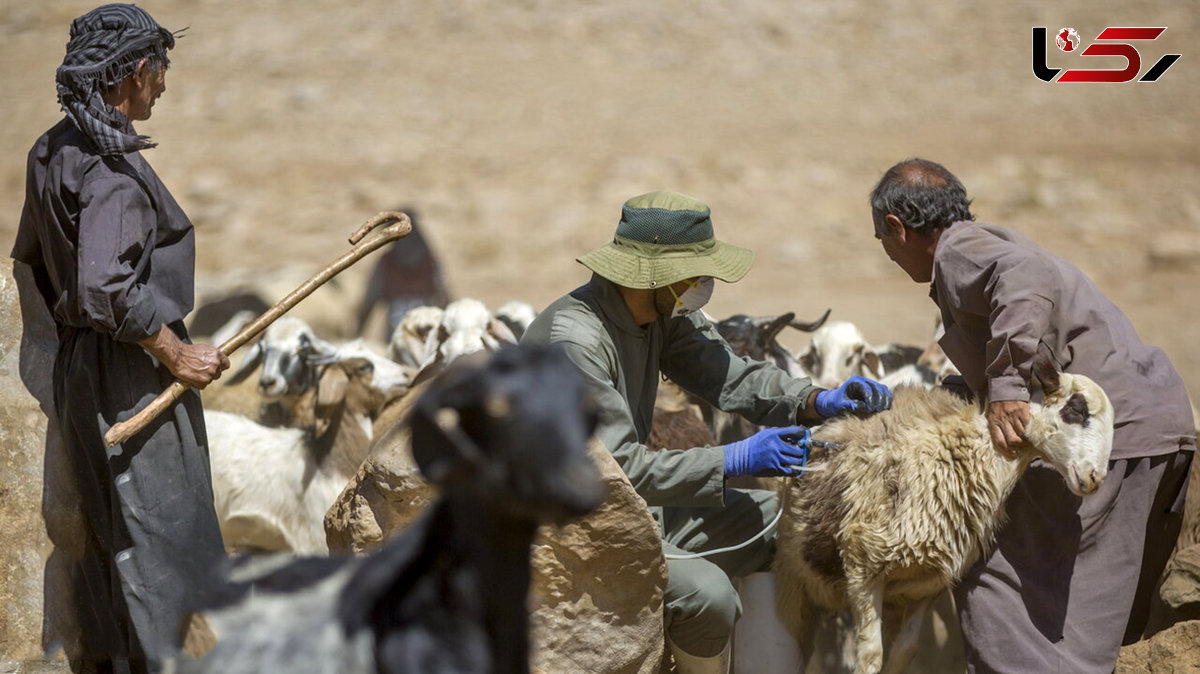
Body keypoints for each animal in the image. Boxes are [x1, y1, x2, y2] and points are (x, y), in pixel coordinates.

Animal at [772, 352, 1108, 671]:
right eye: (1077, 410)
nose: (1094, 479)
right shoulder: (863, 567)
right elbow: (870, 658)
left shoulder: (926, 583)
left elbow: (904, 653)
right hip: (794, 586)